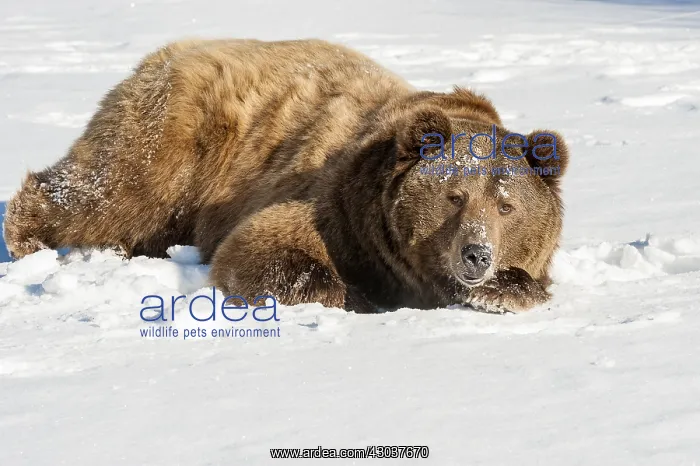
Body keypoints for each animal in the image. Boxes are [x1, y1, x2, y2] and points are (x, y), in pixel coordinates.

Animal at [3, 38, 568, 313]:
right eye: (454, 196)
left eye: (506, 206)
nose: (476, 254)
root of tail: (173, 49)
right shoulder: (336, 205)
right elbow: (261, 248)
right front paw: (357, 296)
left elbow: (530, 282)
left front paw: (505, 288)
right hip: (180, 138)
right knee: (110, 192)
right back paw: (30, 238)